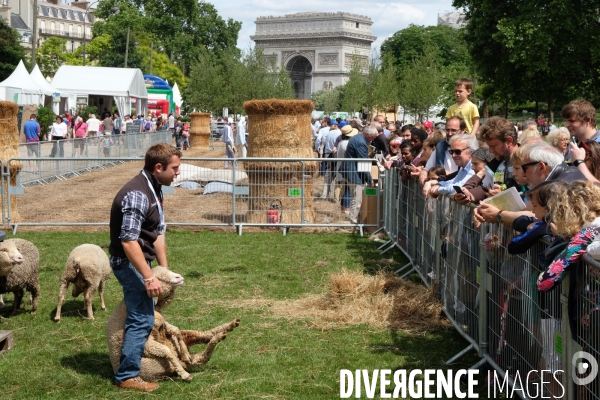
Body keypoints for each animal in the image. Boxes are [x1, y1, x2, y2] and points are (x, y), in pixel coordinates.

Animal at [106, 266, 240, 382]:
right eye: (158, 279)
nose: (179, 277)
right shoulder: (146, 343)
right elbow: (167, 351)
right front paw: (184, 374)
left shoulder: (163, 324)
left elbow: (176, 330)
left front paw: (185, 353)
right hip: (158, 365)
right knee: (200, 357)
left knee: (203, 337)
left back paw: (228, 327)